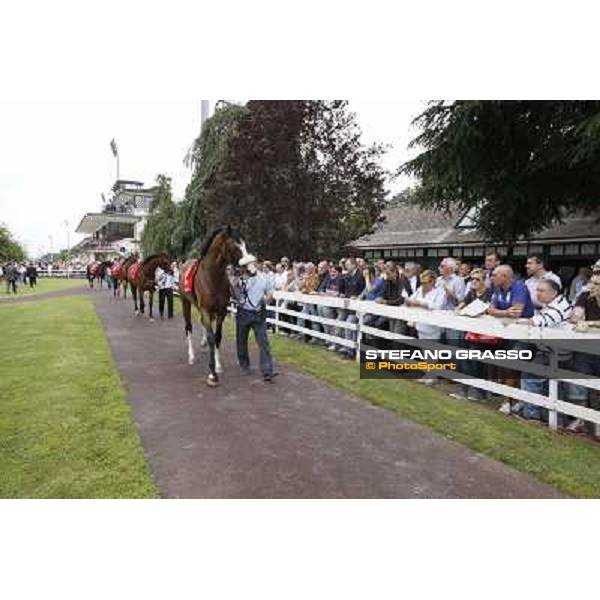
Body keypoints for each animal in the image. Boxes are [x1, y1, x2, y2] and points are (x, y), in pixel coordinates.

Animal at [179, 226, 252, 390]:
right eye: (234, 246)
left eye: (245, 244)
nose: (251, 269)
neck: (212, 277)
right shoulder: (206, 310)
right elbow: (212, 338)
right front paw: (212, 375)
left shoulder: (221, 312)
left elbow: (217, 337)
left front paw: (218, 366)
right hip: (185, 302)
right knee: (188, 327)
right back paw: (191, 356)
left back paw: (203, 344)